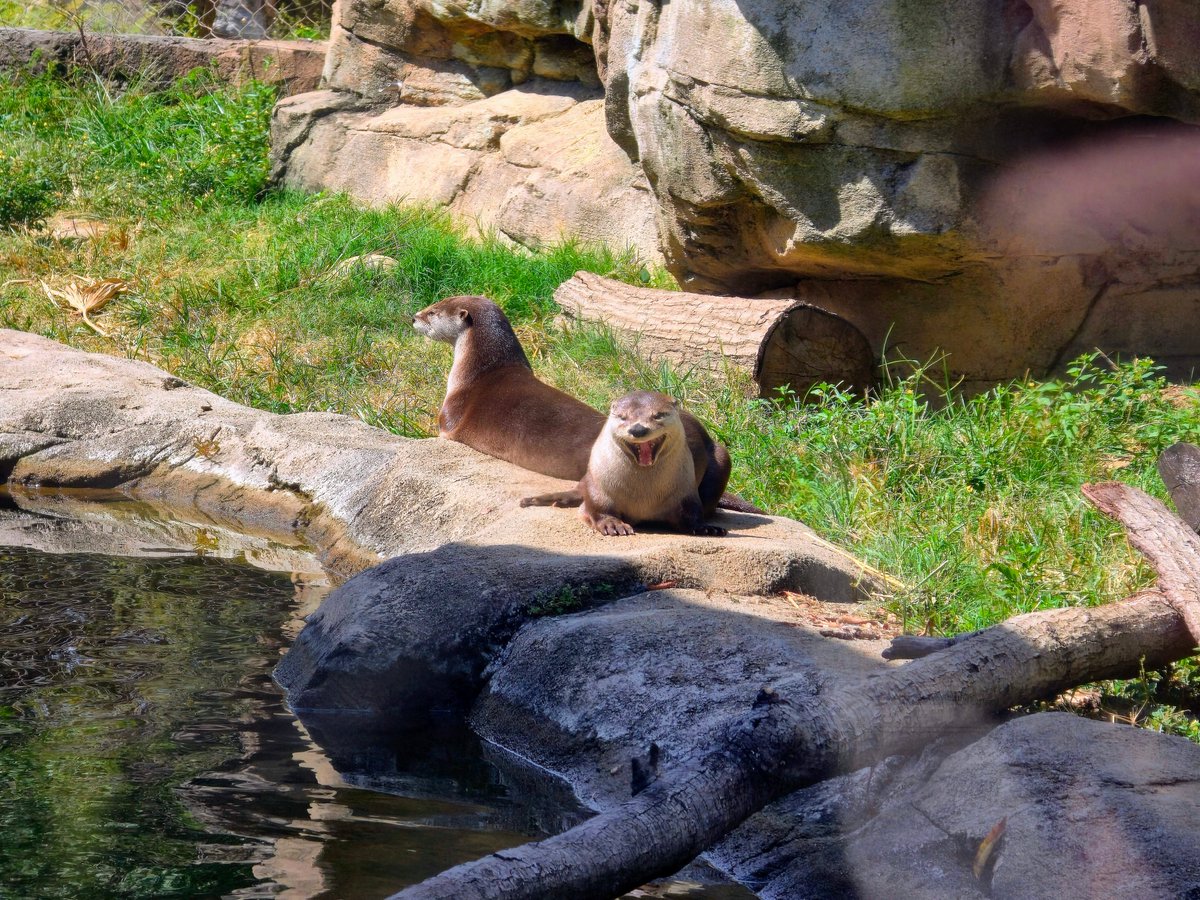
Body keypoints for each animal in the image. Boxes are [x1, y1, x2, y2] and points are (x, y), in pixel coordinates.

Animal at [521, 391, 729, 537]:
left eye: (658, 415)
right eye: (623, 416)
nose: (638, 429)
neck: (644, 497)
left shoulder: (686, 491)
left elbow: (692, 513)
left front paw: (706, 528)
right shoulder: (599, 487)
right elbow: (596, 508)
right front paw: (612, 524)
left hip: (723, 456)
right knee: (581, 488)